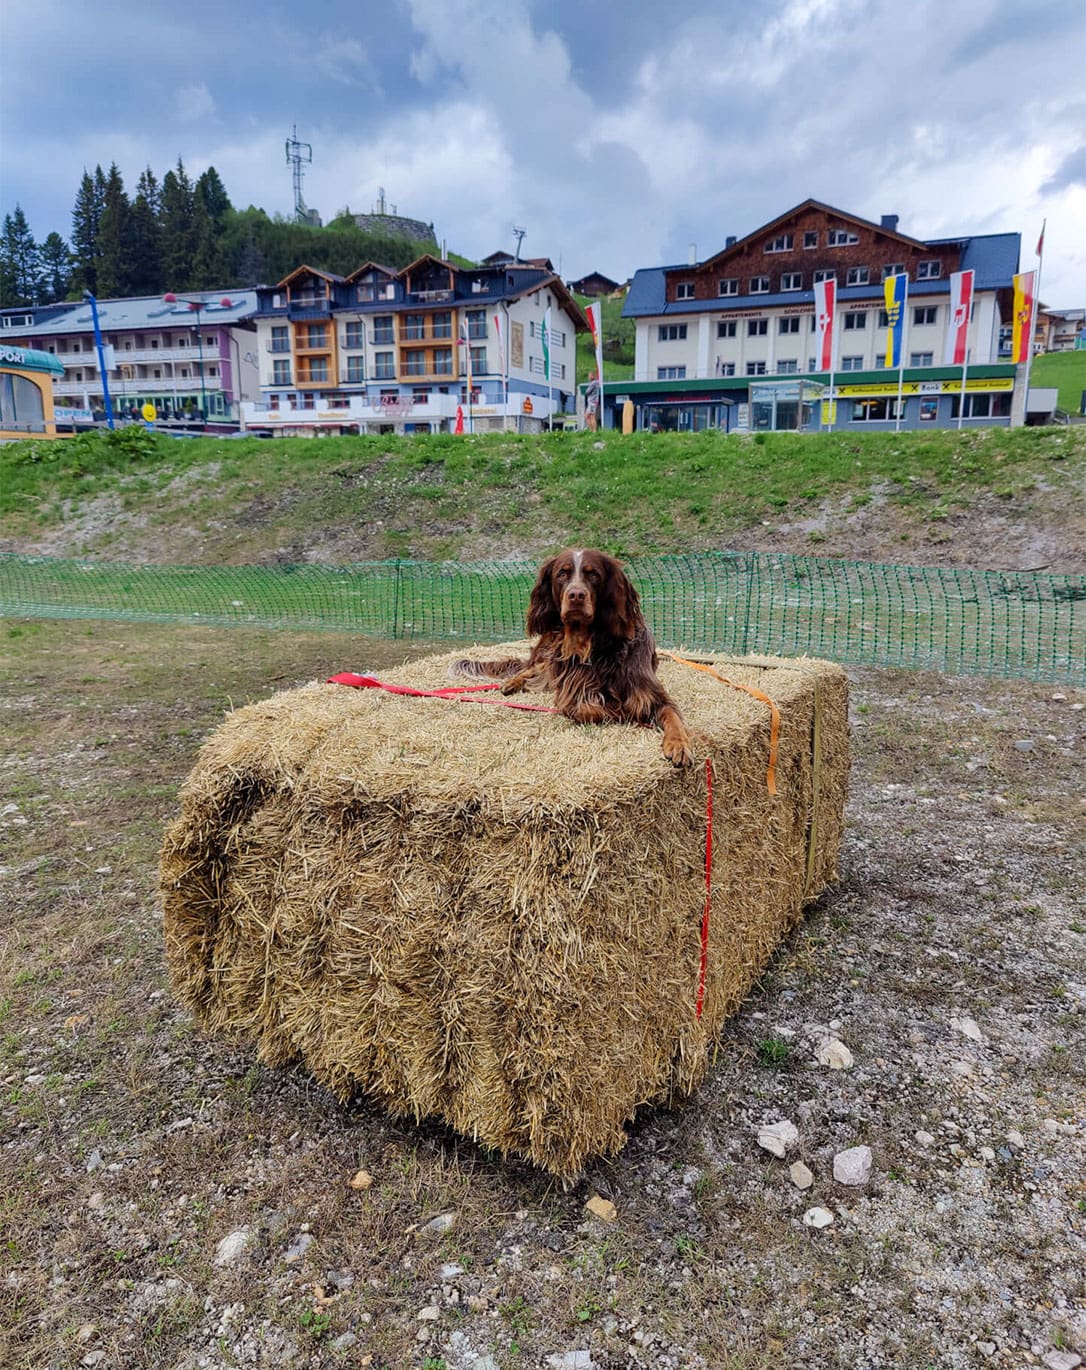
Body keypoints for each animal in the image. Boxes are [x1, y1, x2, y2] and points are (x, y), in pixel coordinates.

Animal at [451, 545, 690, 767]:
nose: (576, 595)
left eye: (593, 574)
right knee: (532, 670)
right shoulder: (570, 696)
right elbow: (589, 710)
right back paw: (511, 683)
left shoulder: (652, 693)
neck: (594, 647)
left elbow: (672, 716)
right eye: (562, 574)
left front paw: (679, 744)